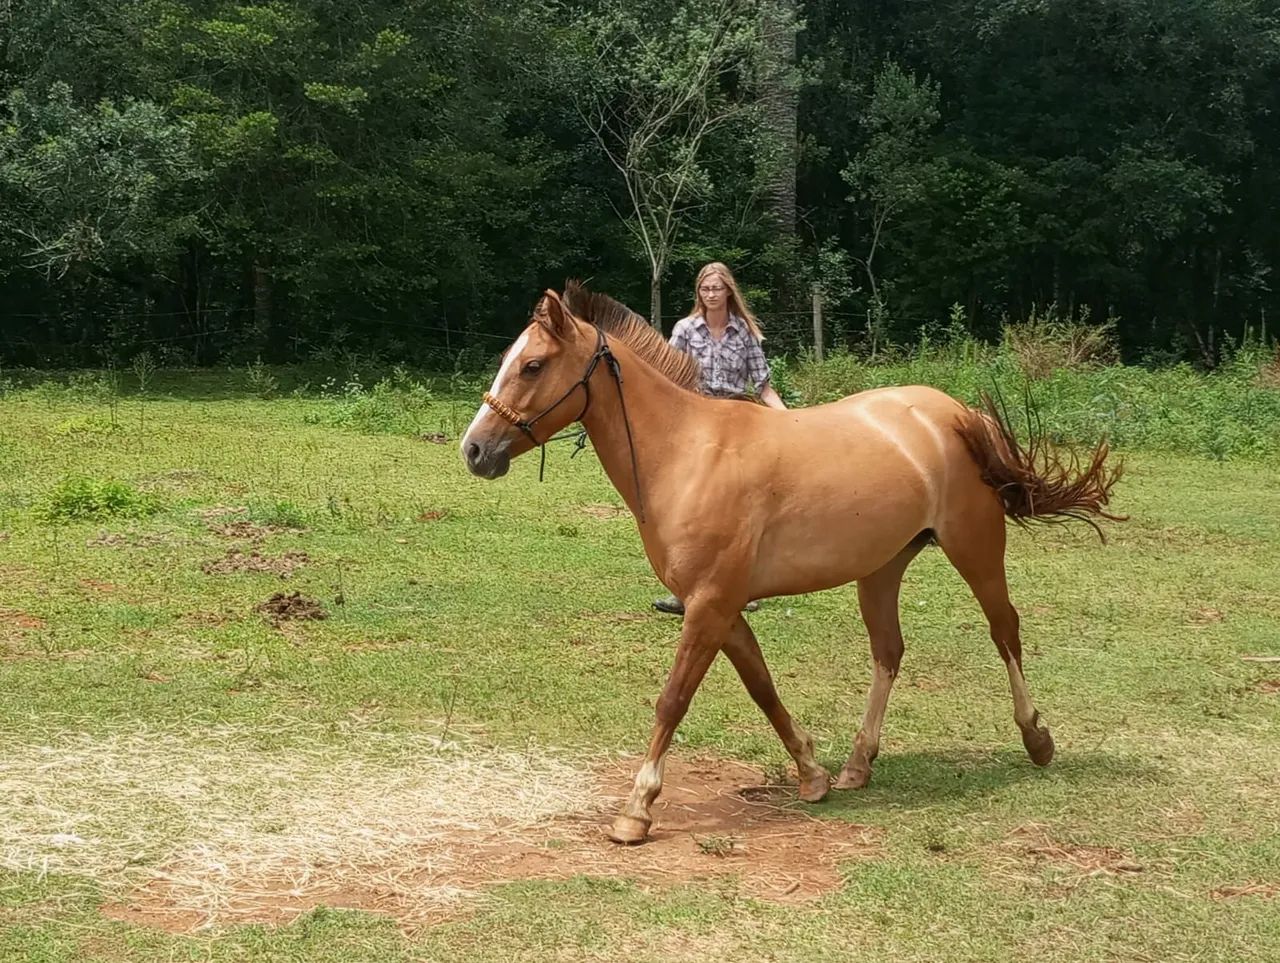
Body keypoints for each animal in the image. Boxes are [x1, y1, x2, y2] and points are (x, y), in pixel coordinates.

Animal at [461, 282, 1121, 844]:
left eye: (533, 365)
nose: (475, 449)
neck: (686, 453)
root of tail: (957, 414)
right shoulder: (721, 609)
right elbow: (762, 686)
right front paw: (812, 774)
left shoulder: (710, 607)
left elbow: (673, 699)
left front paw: (636, 810)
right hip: (881, 569)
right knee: (889, 651)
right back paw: (858, 764)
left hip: (976, 549)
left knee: (1004, 630)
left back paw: (1037, 738)